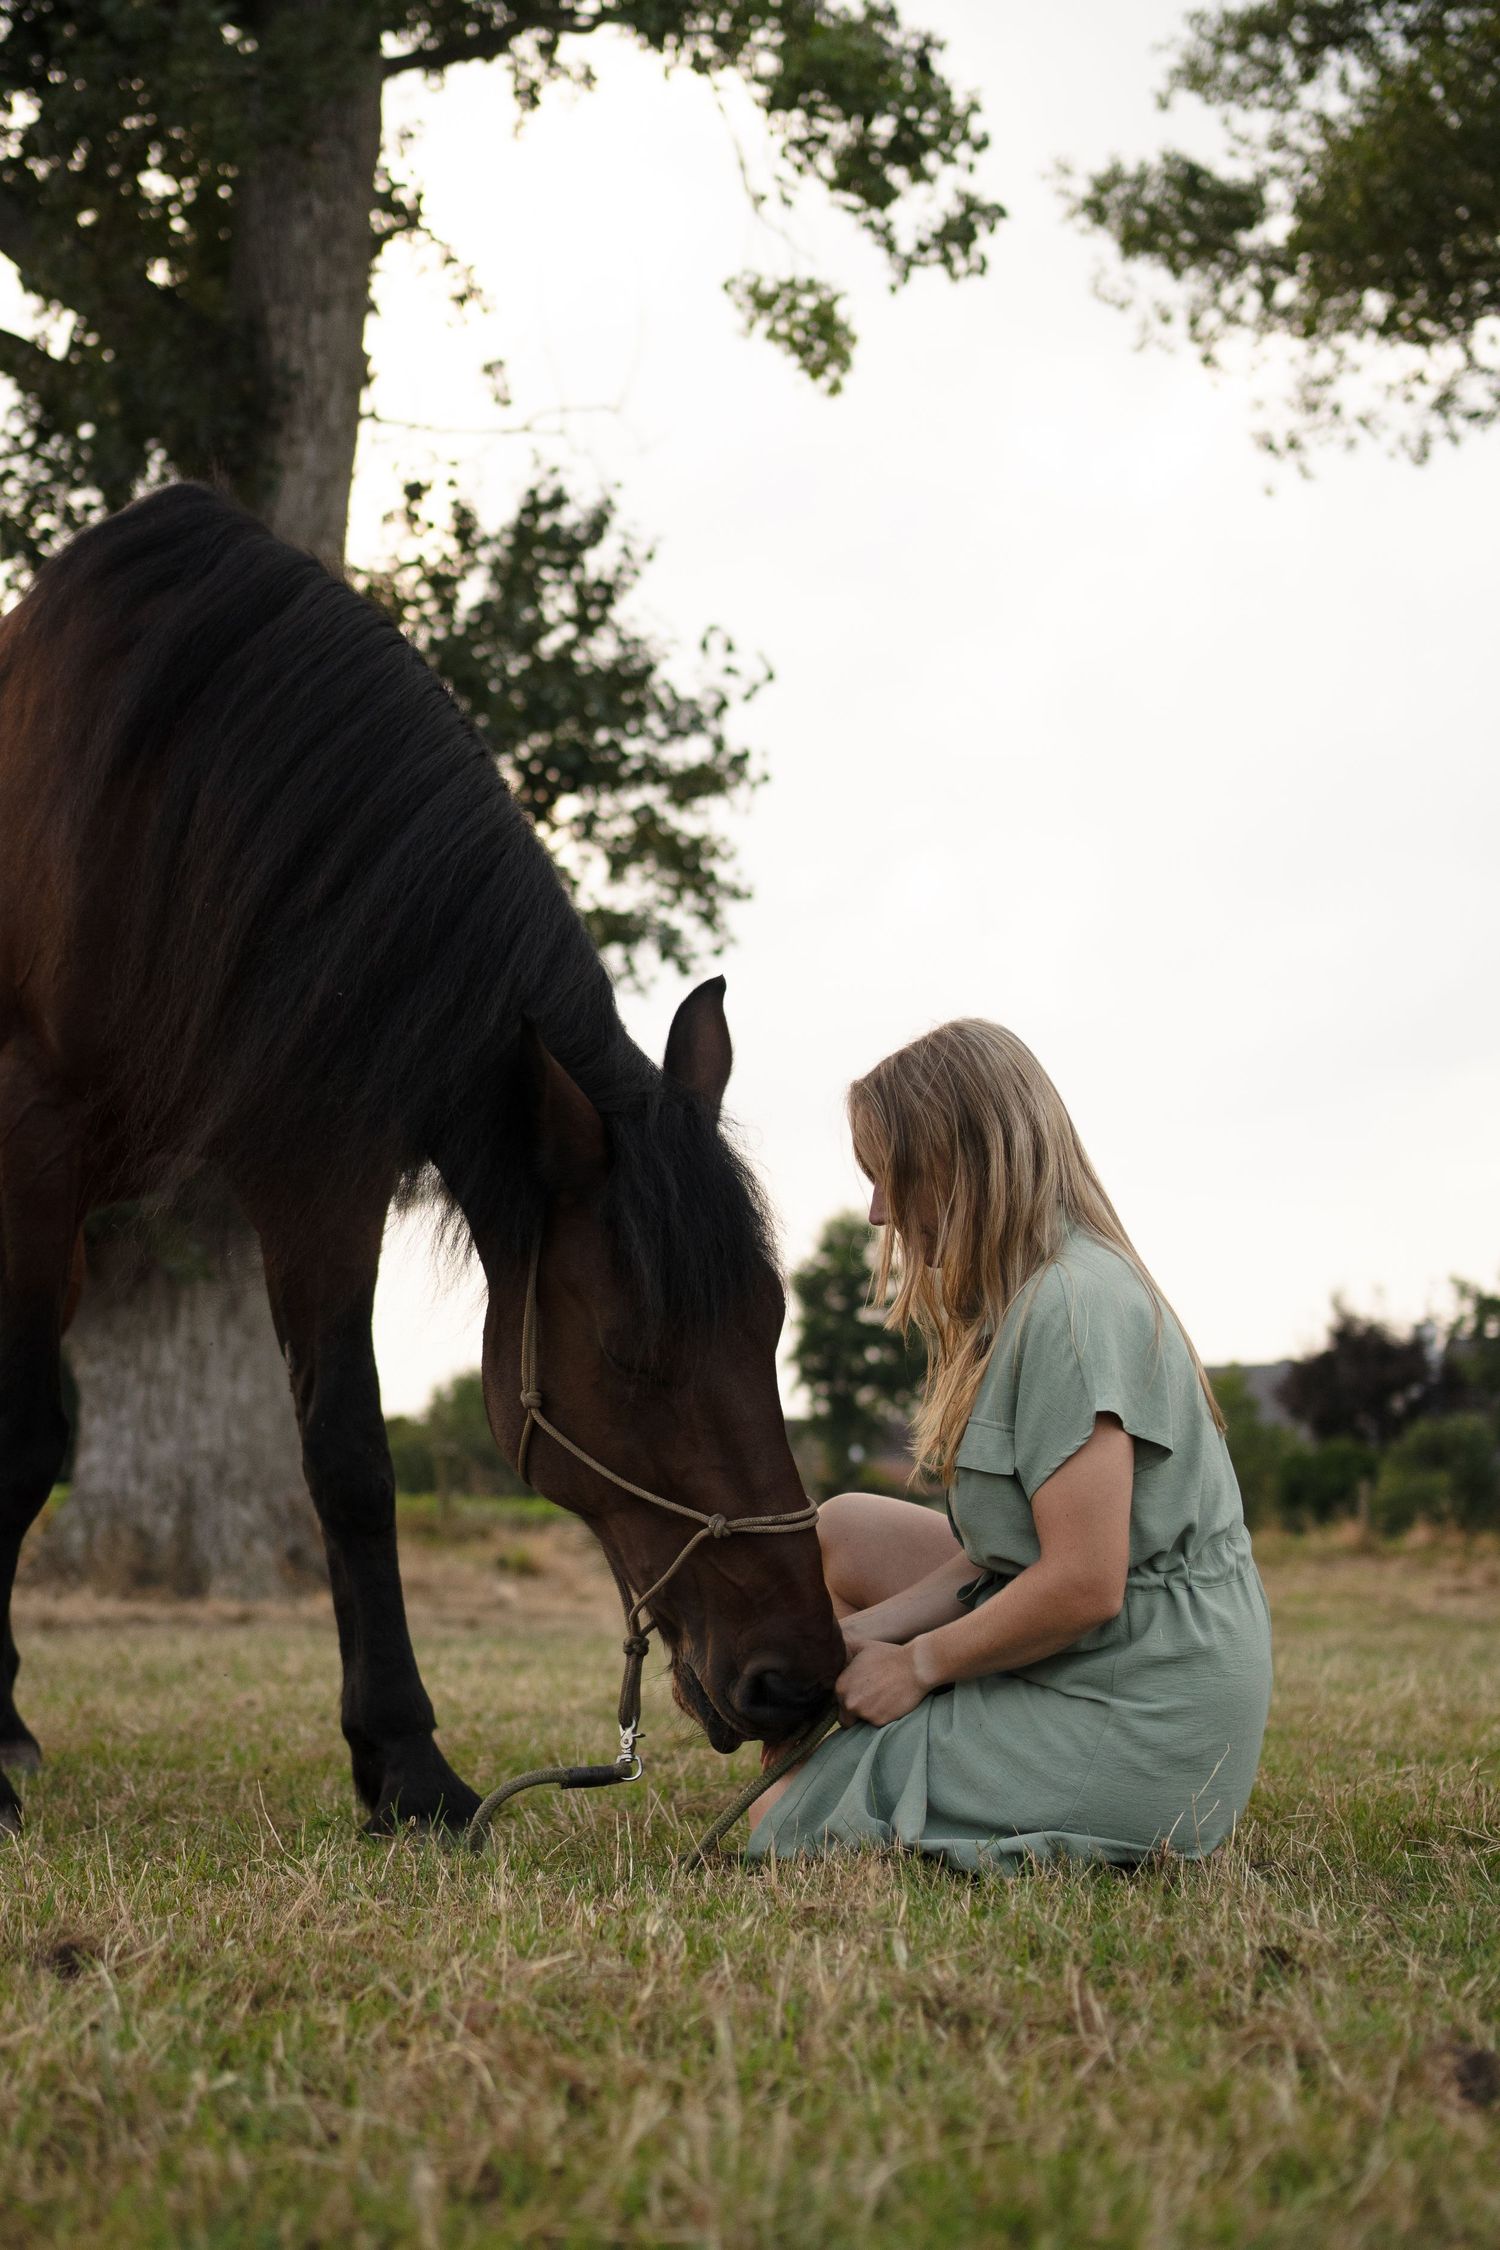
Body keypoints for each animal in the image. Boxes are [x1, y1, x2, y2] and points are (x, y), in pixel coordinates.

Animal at [0, 483, 843, 1834]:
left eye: (769, 1322)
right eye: (632, 1356)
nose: (799, 1677)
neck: (160, 796)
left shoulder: (318, 1169)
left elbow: (350, 1457)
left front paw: (406, 1766)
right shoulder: (36, 1135)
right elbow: (27, 1440)